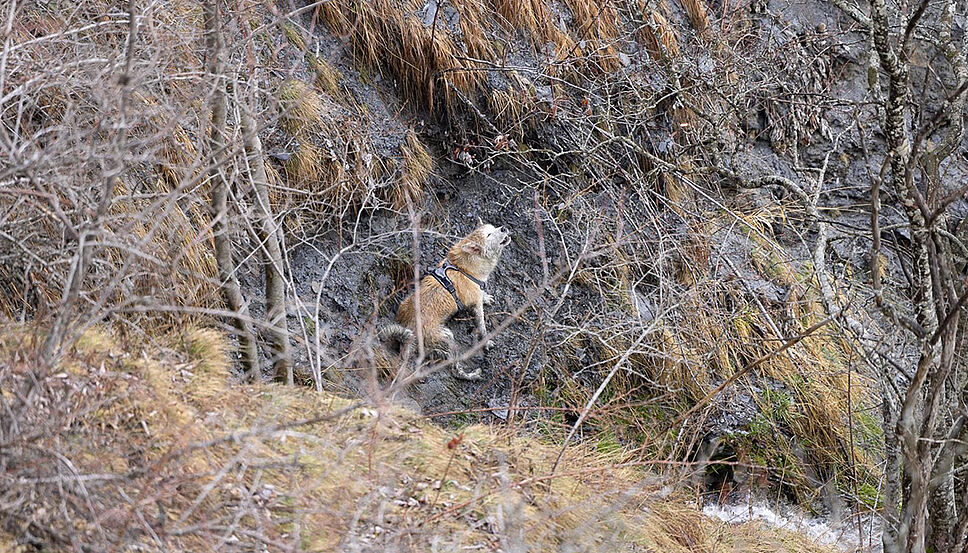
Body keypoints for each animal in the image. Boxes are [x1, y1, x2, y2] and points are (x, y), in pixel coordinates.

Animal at [381, 222, 511, 380]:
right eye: (489, 235)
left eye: (493, 228)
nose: (504, 228)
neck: (465, 268)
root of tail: (410, 333)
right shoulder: (476, 306)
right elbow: (482, 327)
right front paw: (486, 343)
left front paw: (486, 296)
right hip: (448, 336)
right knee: (455, 369)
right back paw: (471, 375)